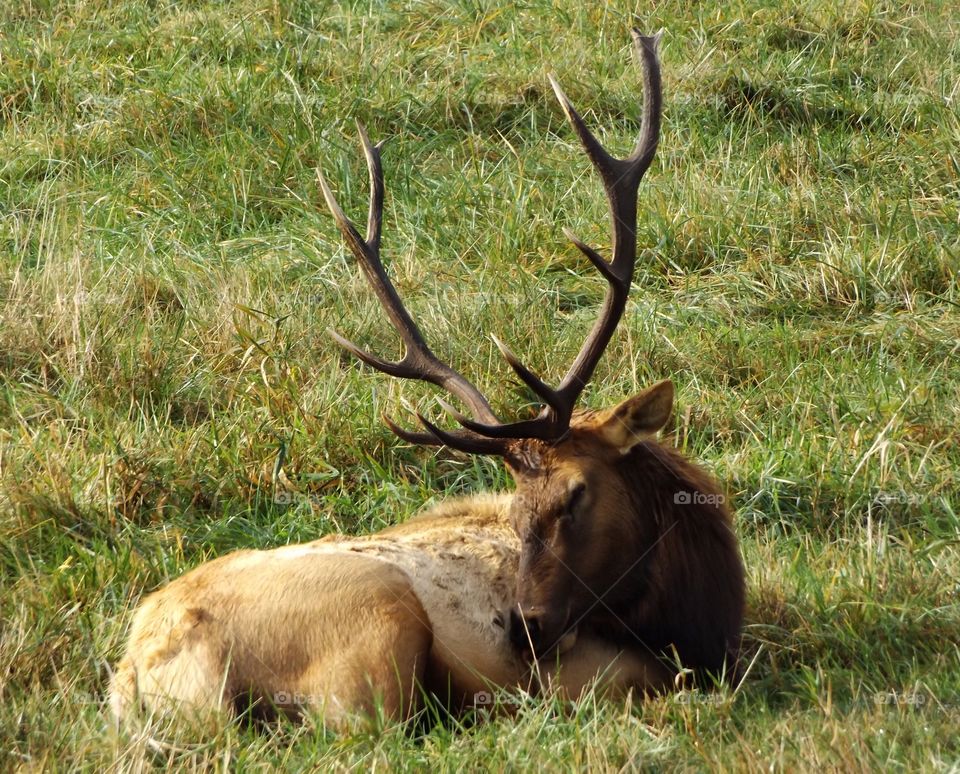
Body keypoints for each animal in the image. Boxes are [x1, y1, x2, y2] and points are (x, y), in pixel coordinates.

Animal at [109, 30, 745, 734]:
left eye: (576, 493)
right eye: (517, 511)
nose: (521, 629)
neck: (700, 614)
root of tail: (135, 670)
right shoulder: (602, 667)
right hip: (379, 620)